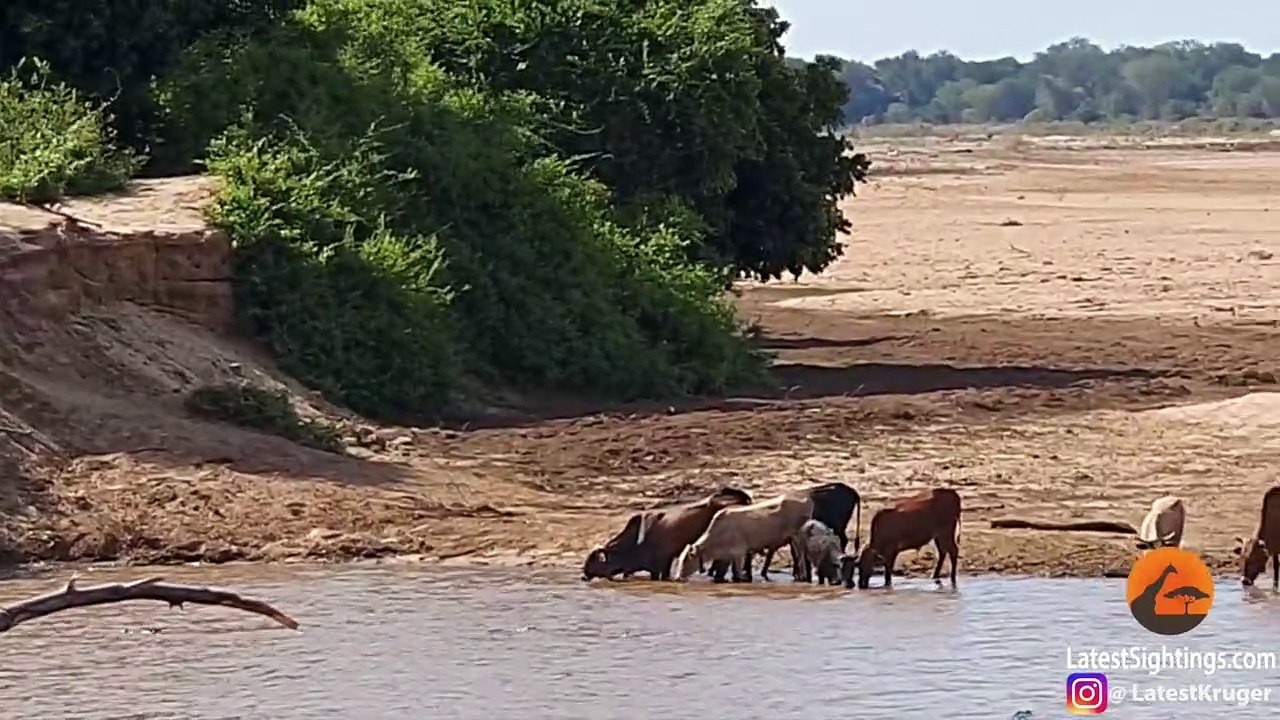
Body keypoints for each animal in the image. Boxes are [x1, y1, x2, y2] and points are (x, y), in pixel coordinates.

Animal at [672, 493, 815, 582]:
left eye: (686, 560)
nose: (677, 577)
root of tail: (805, 500)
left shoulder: (739, 553)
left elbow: (737, 576)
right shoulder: (726, 557)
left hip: (797, 537)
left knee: (801, 556)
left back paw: (802, 576)